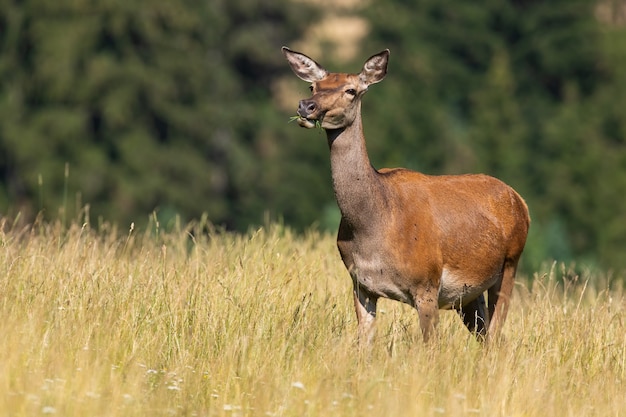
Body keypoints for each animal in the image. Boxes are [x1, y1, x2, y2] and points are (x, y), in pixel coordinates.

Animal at [280, 46, 528, 344]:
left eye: (351, 90)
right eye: (313, 86)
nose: (307, 106)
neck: (374, 225)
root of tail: (521, 201)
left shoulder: (427, 284)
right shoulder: (360, 284)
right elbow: (364, 344)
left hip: (510, 263)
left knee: (496, 335)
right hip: (469, 294)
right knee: (485, 335)